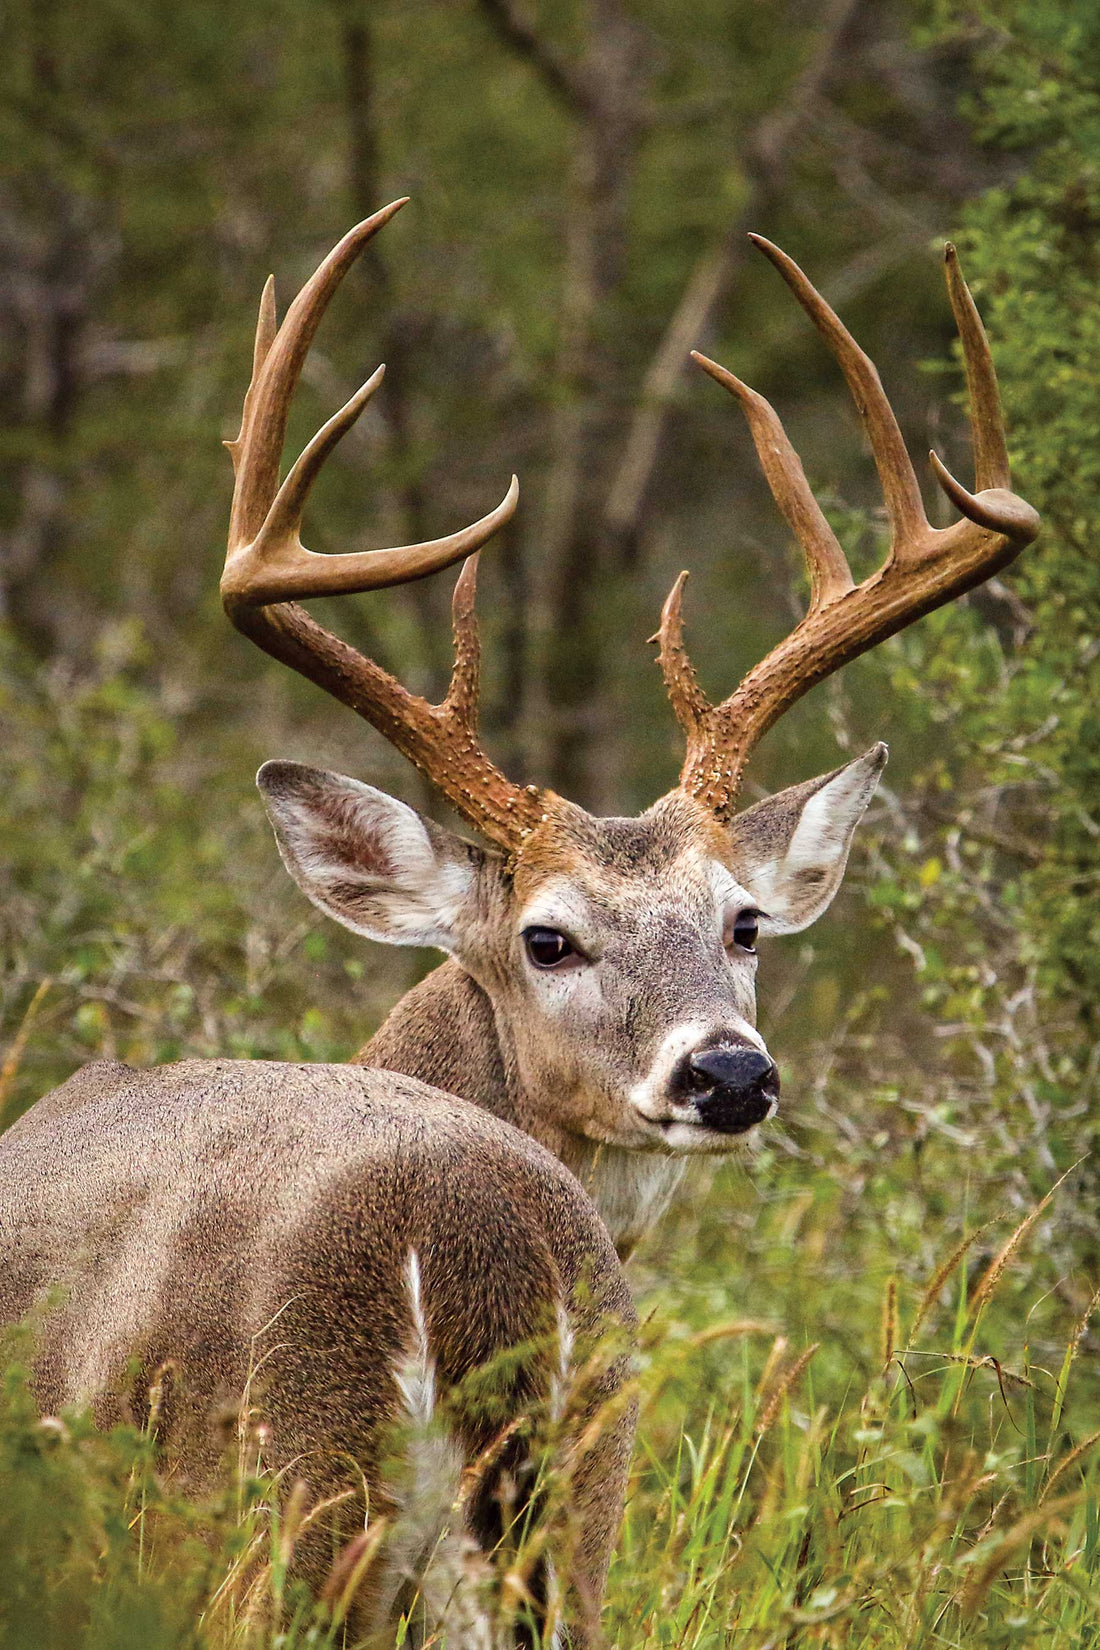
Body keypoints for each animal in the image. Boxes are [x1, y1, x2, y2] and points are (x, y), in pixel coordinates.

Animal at [0, 198, 1039, 1647]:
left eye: (744, 923)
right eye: (548, 938)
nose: (728, 1073)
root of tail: (467, 1234)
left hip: (282, 1499)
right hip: (577, 1503)